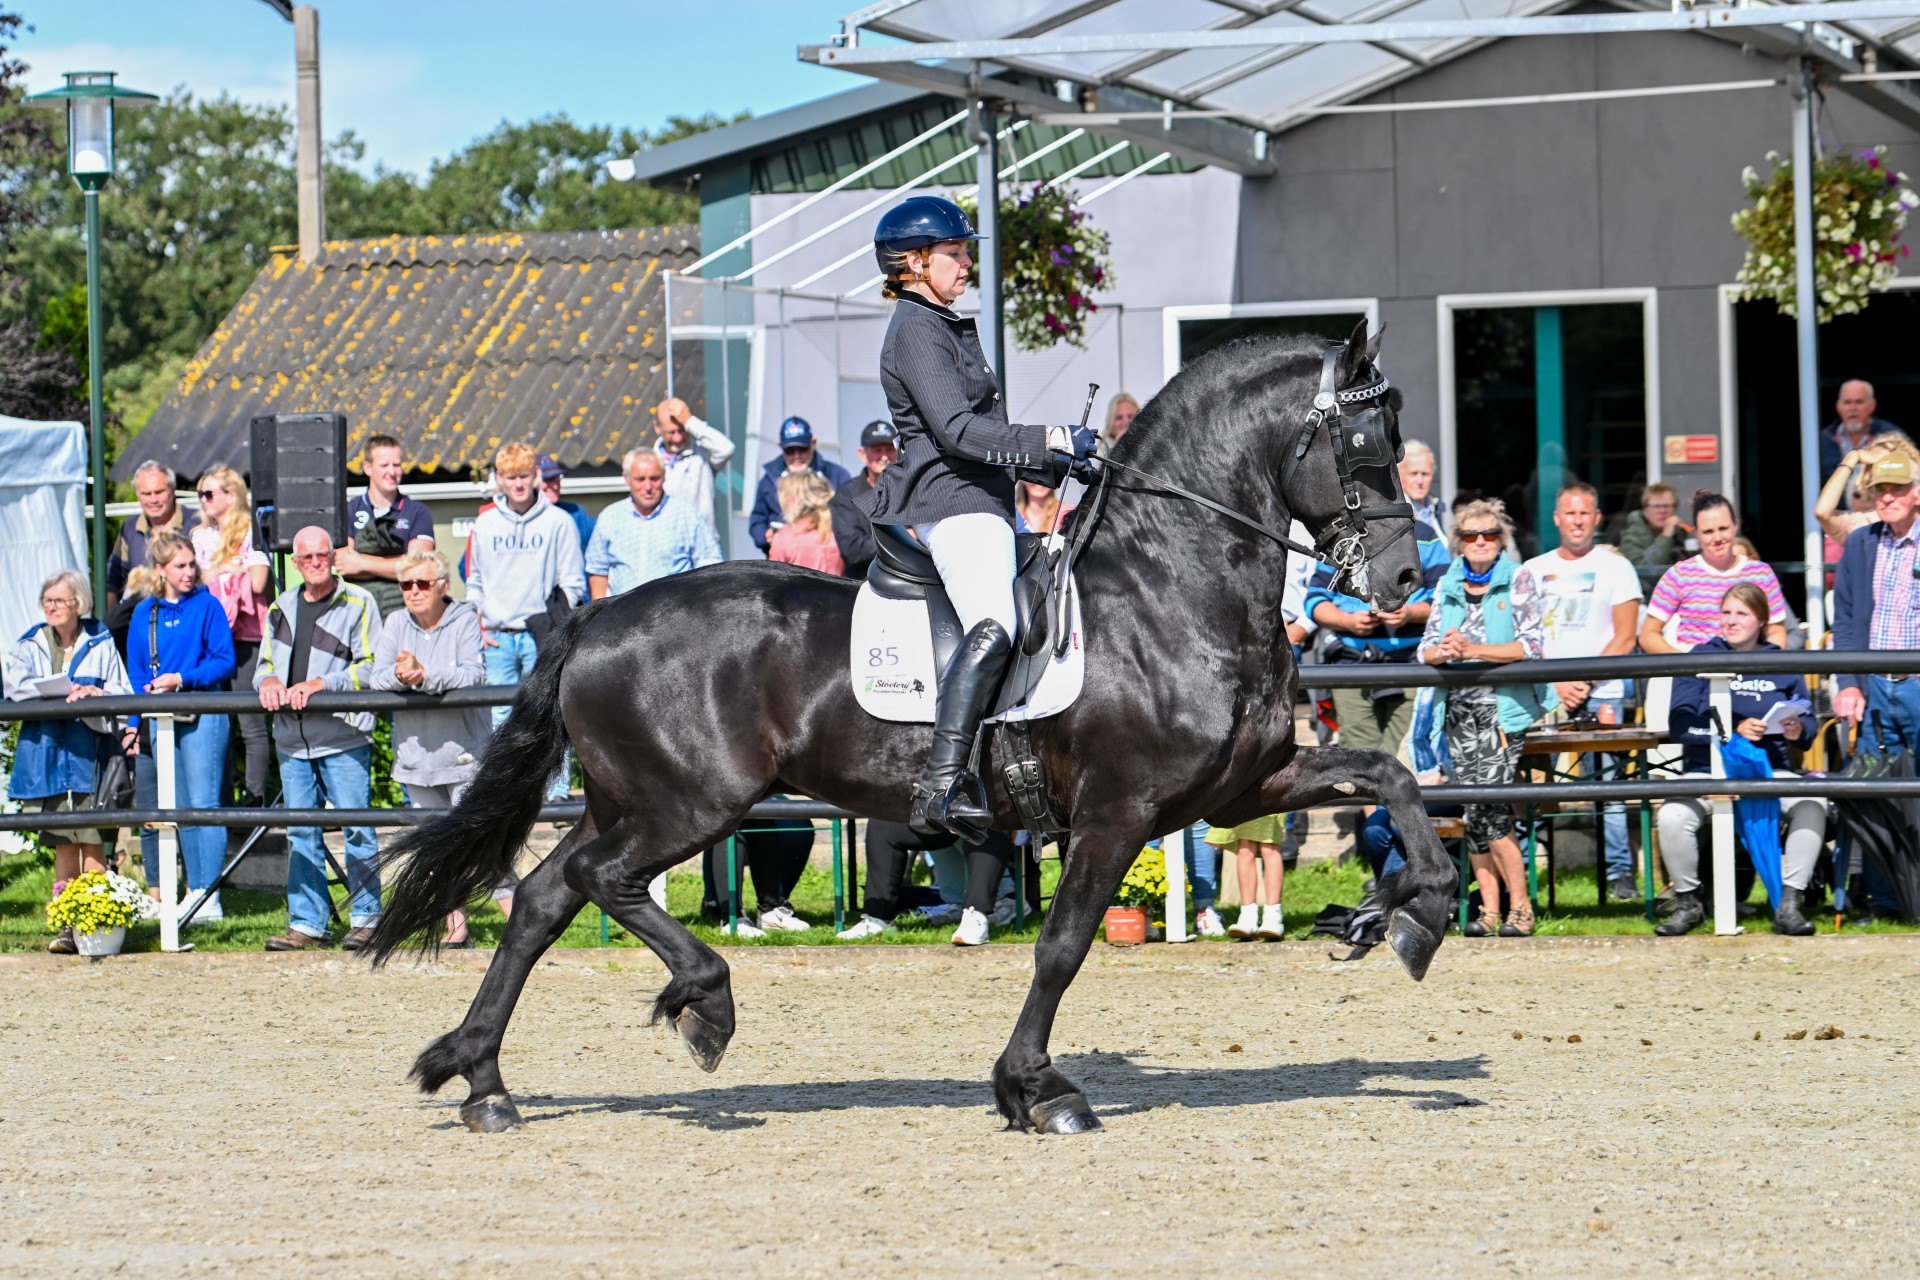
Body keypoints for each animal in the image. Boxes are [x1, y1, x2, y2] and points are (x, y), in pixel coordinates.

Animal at [366, 320, 1451, 1128]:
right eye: (1365, 444)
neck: (1170, 584)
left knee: (543, 897)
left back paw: (484, 1079)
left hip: (629, 798)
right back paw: (704, 1003)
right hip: (689, 803)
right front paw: (1035, 1089)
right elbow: (1063, 945)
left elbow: (1392, 779)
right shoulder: (1119, 811)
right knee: (597, 881)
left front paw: (1412, 914)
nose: (1407, 580)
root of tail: (595, 615)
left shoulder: (1236, 789)